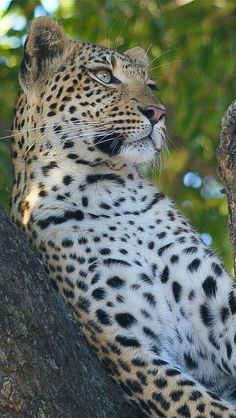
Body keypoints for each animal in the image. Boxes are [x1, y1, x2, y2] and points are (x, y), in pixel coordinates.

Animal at [10, 18, 236, 418]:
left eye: (151, 85)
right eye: (103, 76)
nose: (158, 113)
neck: (108, 189)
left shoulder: (219, 306)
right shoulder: (129, 349)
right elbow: (204, 406)